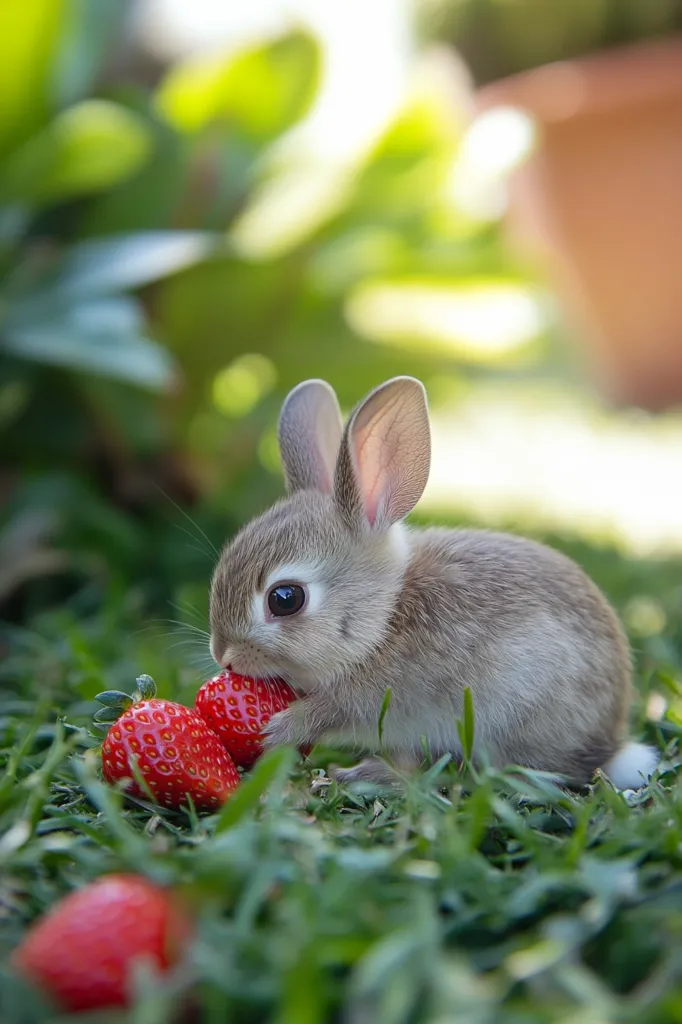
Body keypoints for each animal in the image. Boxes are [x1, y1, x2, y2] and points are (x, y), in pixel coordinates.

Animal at [209, 376, 658, 790]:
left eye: (285, 598)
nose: (225, 658)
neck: (384, 617)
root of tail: (608, 745)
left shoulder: (376, 696)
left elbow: (333, 710)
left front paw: (279, 729)